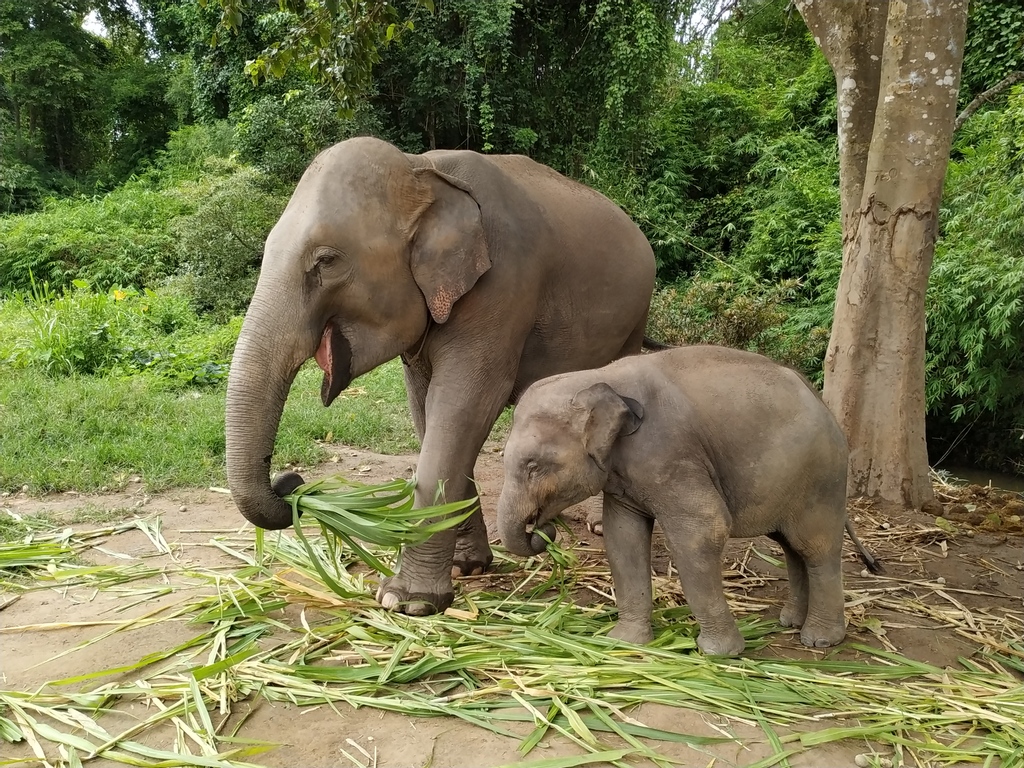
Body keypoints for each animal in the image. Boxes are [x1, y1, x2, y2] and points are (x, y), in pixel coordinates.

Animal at [224, 136, 657, 617]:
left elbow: (462, 407)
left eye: (326, 261)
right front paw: (466, 567)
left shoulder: (503, 287)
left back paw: (596, 526)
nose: (291, 483)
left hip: (634, 317)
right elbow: (427, 411)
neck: (422, 170)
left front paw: (407, 601)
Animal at [496, 345, 881, 656]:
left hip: (821, 477)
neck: (599, 377)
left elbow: (703, 530)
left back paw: (819, 639)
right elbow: (623, 537)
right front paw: (623, 643)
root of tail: (821, 401)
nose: (544, 531)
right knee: (790, 545)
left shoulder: (670, 451)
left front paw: (718, 653)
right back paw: (789, 622)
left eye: (533, 466)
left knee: (815, 548)